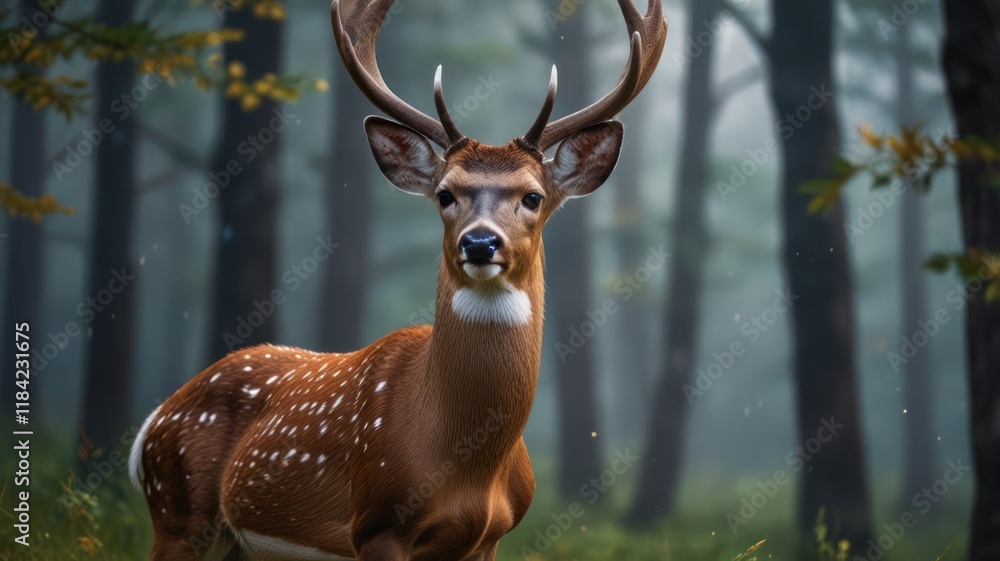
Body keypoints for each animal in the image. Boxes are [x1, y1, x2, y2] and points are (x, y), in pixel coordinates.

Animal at [129, 0, 666, 559]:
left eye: (533, 196)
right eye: (445, 193)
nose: (479, 243)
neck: (467, 464)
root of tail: (150, 424)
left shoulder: (493, 536)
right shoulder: (377, 522)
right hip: (177, 512)